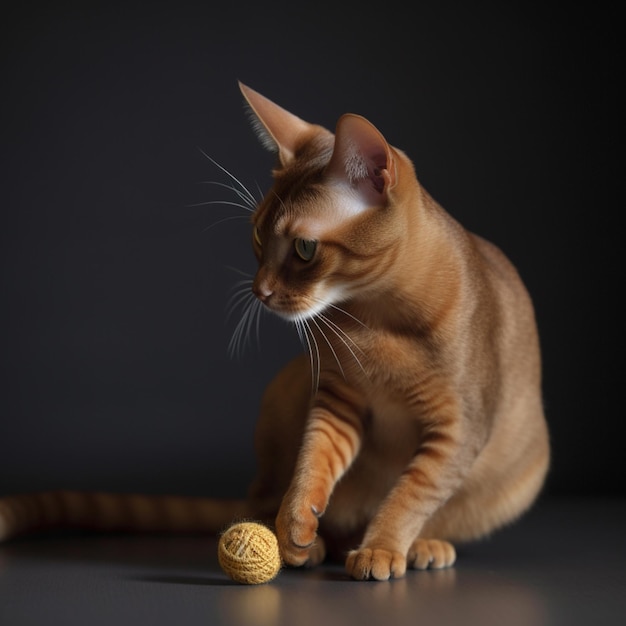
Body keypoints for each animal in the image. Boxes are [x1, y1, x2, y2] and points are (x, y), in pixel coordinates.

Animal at [0, 83, 544, 580]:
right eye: (258, 236)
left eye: (304, 249)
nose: (258, 291)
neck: (376, 320)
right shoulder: (337, 397)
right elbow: (311, 461)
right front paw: (296, 522)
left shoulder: (458, 428)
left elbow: (411, 493)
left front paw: (382, 547)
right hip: (284, 391)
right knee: (264, 494)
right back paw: (305, 539)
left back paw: (420, 546)